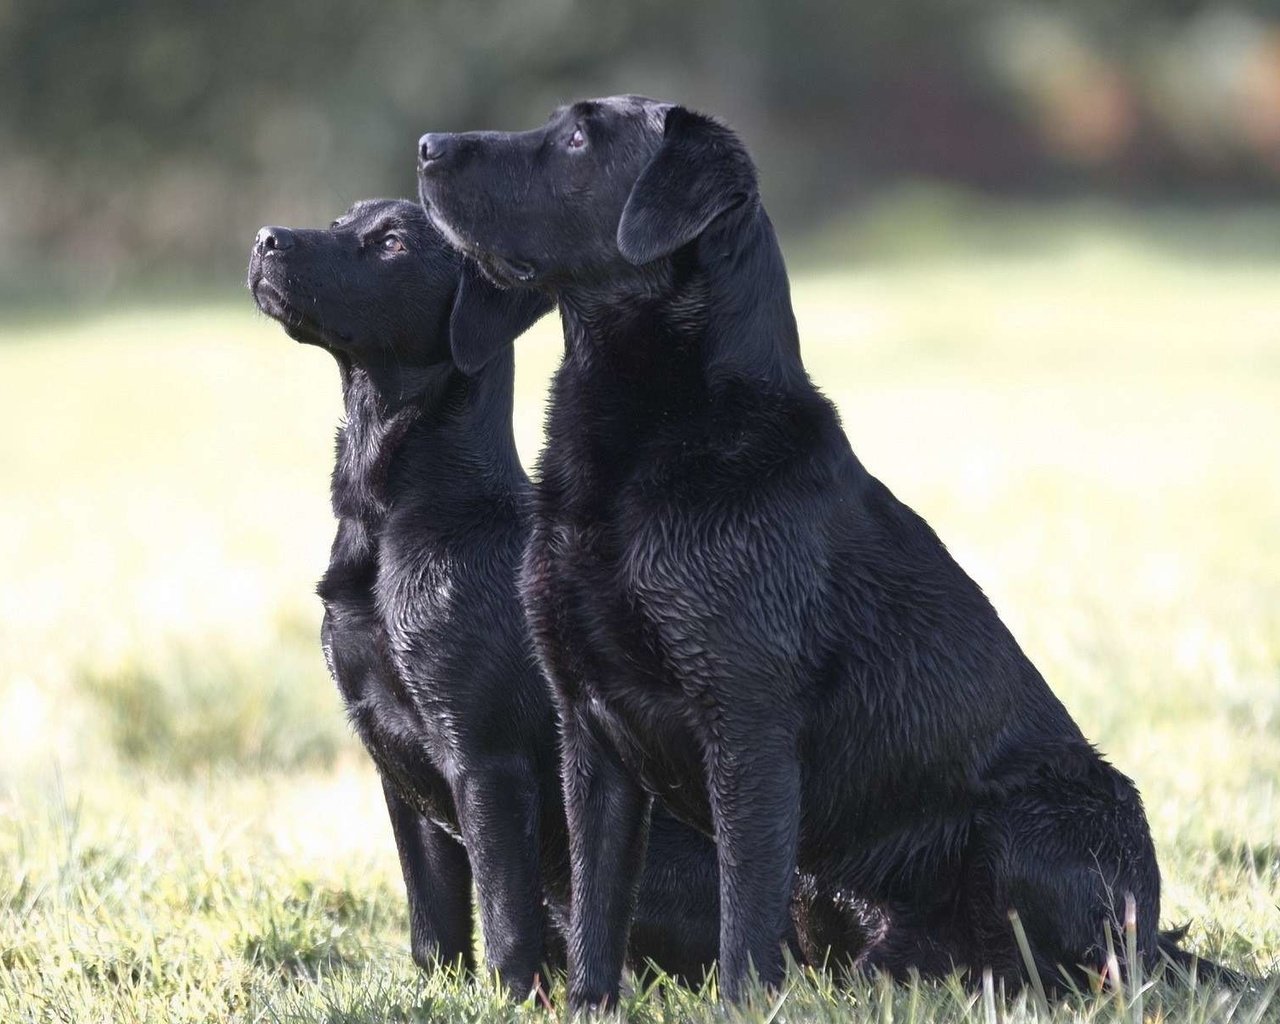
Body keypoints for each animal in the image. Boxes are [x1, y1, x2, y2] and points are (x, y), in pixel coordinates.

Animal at [247, 198, 732, 993]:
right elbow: (434, 926)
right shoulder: (395, 764)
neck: (395, 520)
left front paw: (506, 999)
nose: (265, 239)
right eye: (342, 219)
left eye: (392, 243)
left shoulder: (486, 760)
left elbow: (504, 924)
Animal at [414, 99, 1223, 1003]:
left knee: (1073, 965)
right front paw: (588, 1005)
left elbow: (742, 910)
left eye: (580, 138)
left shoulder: (747, 720)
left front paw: (739, 1008)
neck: (652, 449)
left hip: (1041, 820)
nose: (427, 147)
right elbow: (596, 902)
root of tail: (1169, 947)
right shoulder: (587, 730)